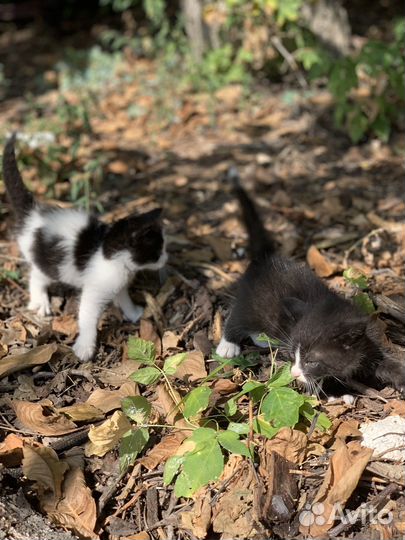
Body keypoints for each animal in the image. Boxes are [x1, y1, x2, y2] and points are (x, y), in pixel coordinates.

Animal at [2, 134, 166, 362]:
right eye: (158, 249)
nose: (166, 257)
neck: (109, 252)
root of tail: (32, 215)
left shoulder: (117, 283)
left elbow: (123, 297)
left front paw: (133, 312)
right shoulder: (94, 290)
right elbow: (87, 317)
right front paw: (85, 347)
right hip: (49, 264)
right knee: (37, 276)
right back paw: (40, 301)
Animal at [216, 169, 402, 400]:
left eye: (311, 361)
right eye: (292, 355)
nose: (294, 372)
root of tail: (265, 259)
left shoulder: (369, 343)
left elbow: (383, 362)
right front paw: (337, 392)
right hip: (252, 304)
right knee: (237, 317)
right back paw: (227, 345)